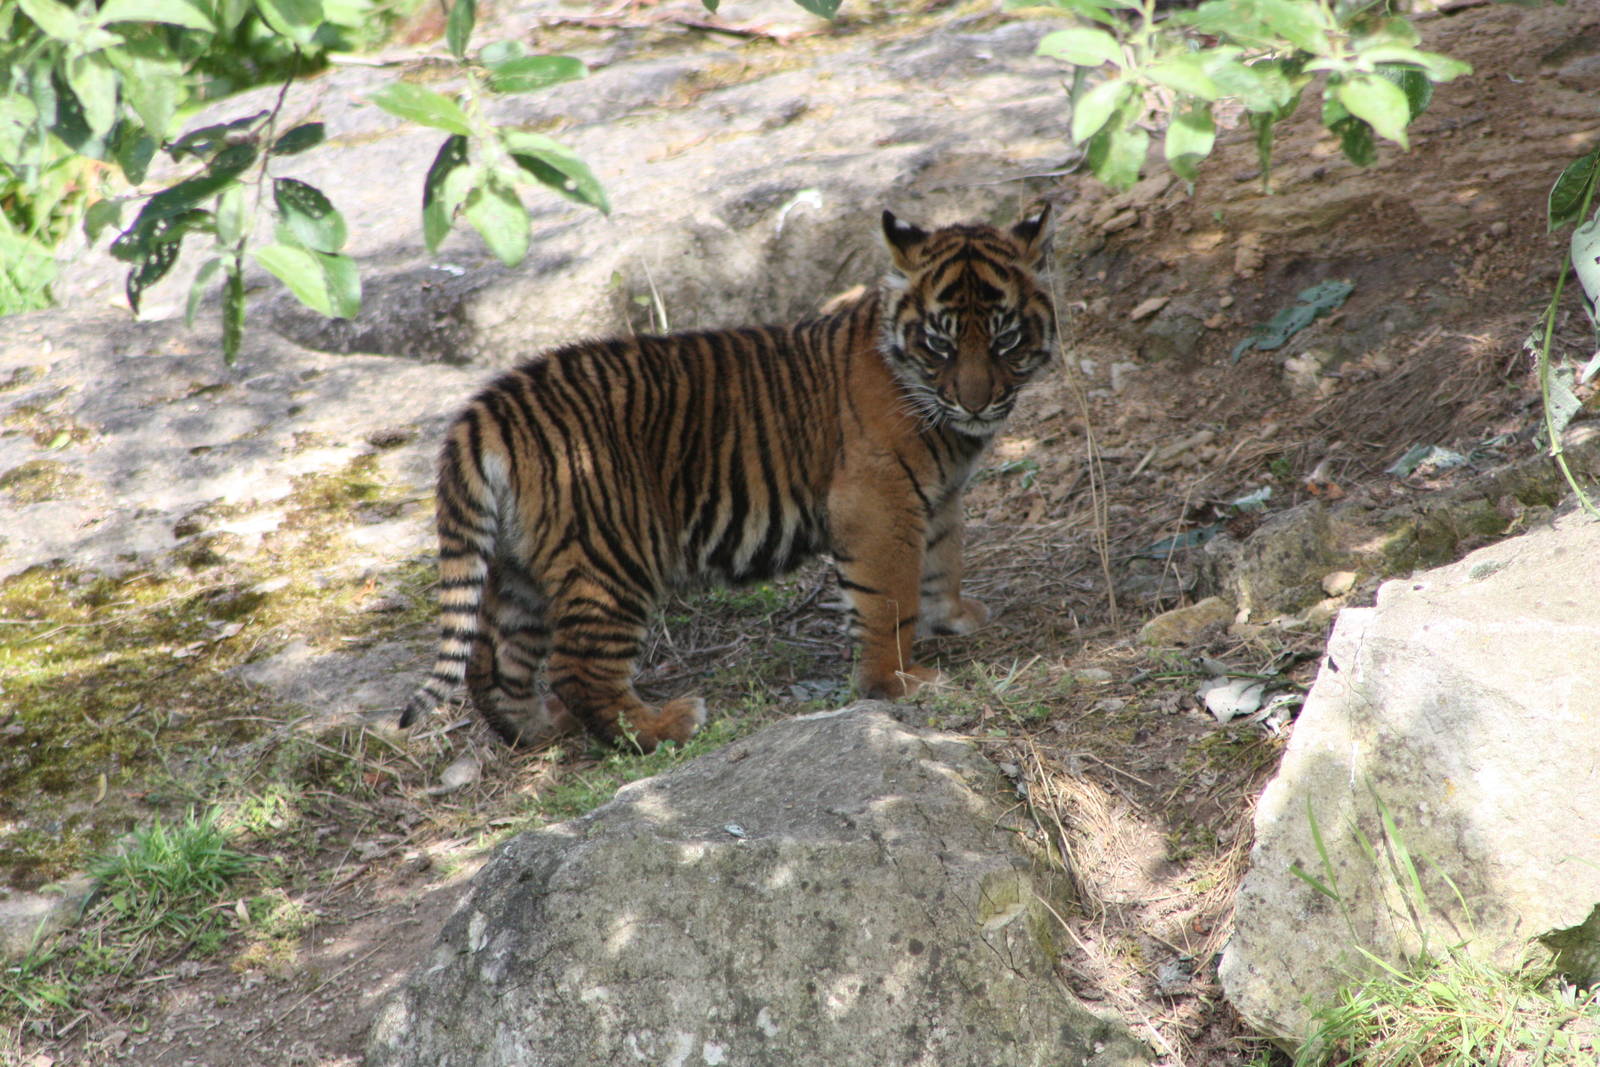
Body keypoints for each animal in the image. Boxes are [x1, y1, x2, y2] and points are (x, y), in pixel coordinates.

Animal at [399, 201, 1056, 752]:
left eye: (1006, 339)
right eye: (941, 344)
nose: (976, 403)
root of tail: (491, 407)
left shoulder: (939, 498)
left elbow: (944, 558)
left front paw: (953, 616)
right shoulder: (879, 501)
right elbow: (889, 596)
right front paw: (894, 682)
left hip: (521, 567)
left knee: (494, 661)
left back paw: (540, 730)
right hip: (613, 550)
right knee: (577, 667)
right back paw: (664, 727)